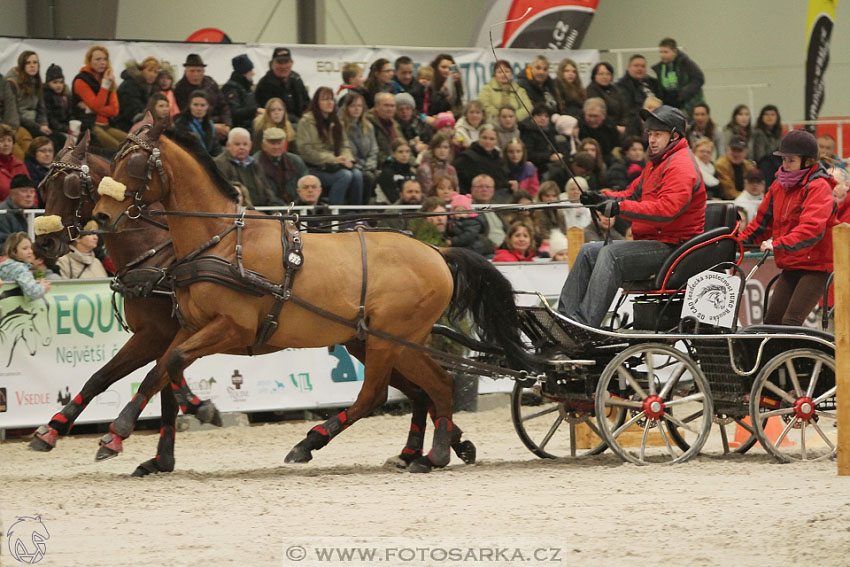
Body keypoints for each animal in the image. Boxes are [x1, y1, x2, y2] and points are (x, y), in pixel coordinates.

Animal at [91, 117, 528, 472]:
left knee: (379, 394)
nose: (100, 216)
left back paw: (315, 443)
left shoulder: (231, 327)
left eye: (133, 164)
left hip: (393, 340)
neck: (222, 241)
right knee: (436, 386)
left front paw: (198, 411)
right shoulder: (188, 326)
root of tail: (436, 251)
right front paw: (119, 431)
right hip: (389, 341)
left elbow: (173, 362)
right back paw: (430, 454)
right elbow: (162, 368)